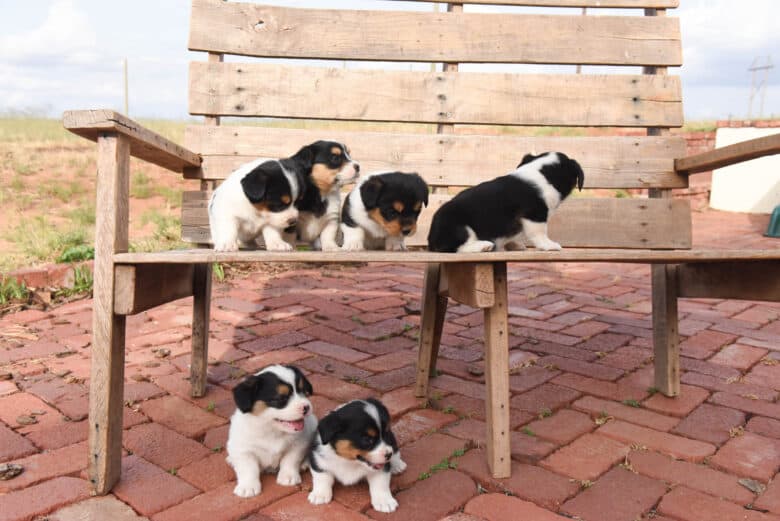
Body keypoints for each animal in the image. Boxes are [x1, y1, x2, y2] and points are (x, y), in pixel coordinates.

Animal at [224, 364, 316, 498]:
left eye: (303, 392)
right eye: (280, 398)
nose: (306, 407)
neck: (272, 431)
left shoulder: (298, 444)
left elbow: (290, 460)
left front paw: (288, 476)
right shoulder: (243, 451)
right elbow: (248, 468)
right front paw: (248, 487)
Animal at [426, 151, 584, 253]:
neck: (542, 173)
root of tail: (431, 240)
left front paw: (514, 244)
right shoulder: (535, 215)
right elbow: (540, 233)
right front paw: (549, 245)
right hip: (461, 228)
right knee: (457, 248)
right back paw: (484, 246)